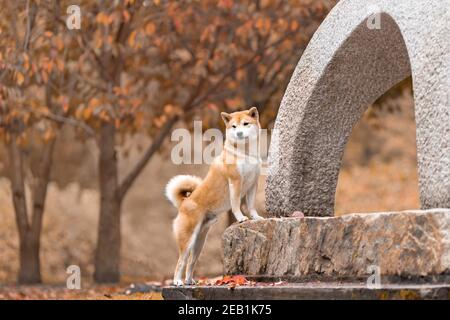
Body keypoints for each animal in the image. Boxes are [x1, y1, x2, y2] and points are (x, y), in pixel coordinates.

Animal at [165, 107, 264, 284]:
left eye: (246, 124)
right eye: (233, 126)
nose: (239, 133)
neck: (245, 153)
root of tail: (184, 202)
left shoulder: (253, 183)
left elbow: (251, 205)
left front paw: (255, 217)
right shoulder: (235, 182)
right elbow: (236, 204)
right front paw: (241, 218)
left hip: (199, 242)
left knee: (191, 262)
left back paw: (189, 282)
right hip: (188, 240)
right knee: (181, 261)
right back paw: (177, 281)